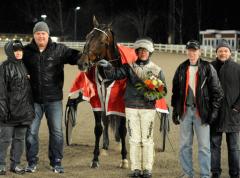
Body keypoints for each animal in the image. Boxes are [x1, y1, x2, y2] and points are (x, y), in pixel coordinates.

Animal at [77, 16, 129, 168]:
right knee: (106, 120)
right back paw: (105, 146)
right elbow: (99, 128)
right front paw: (95, 158)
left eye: (101, 41)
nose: (82, 63)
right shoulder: (98, 99)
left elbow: (123, 128)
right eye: (87, 37)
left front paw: (124, 158)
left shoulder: (120, 102)